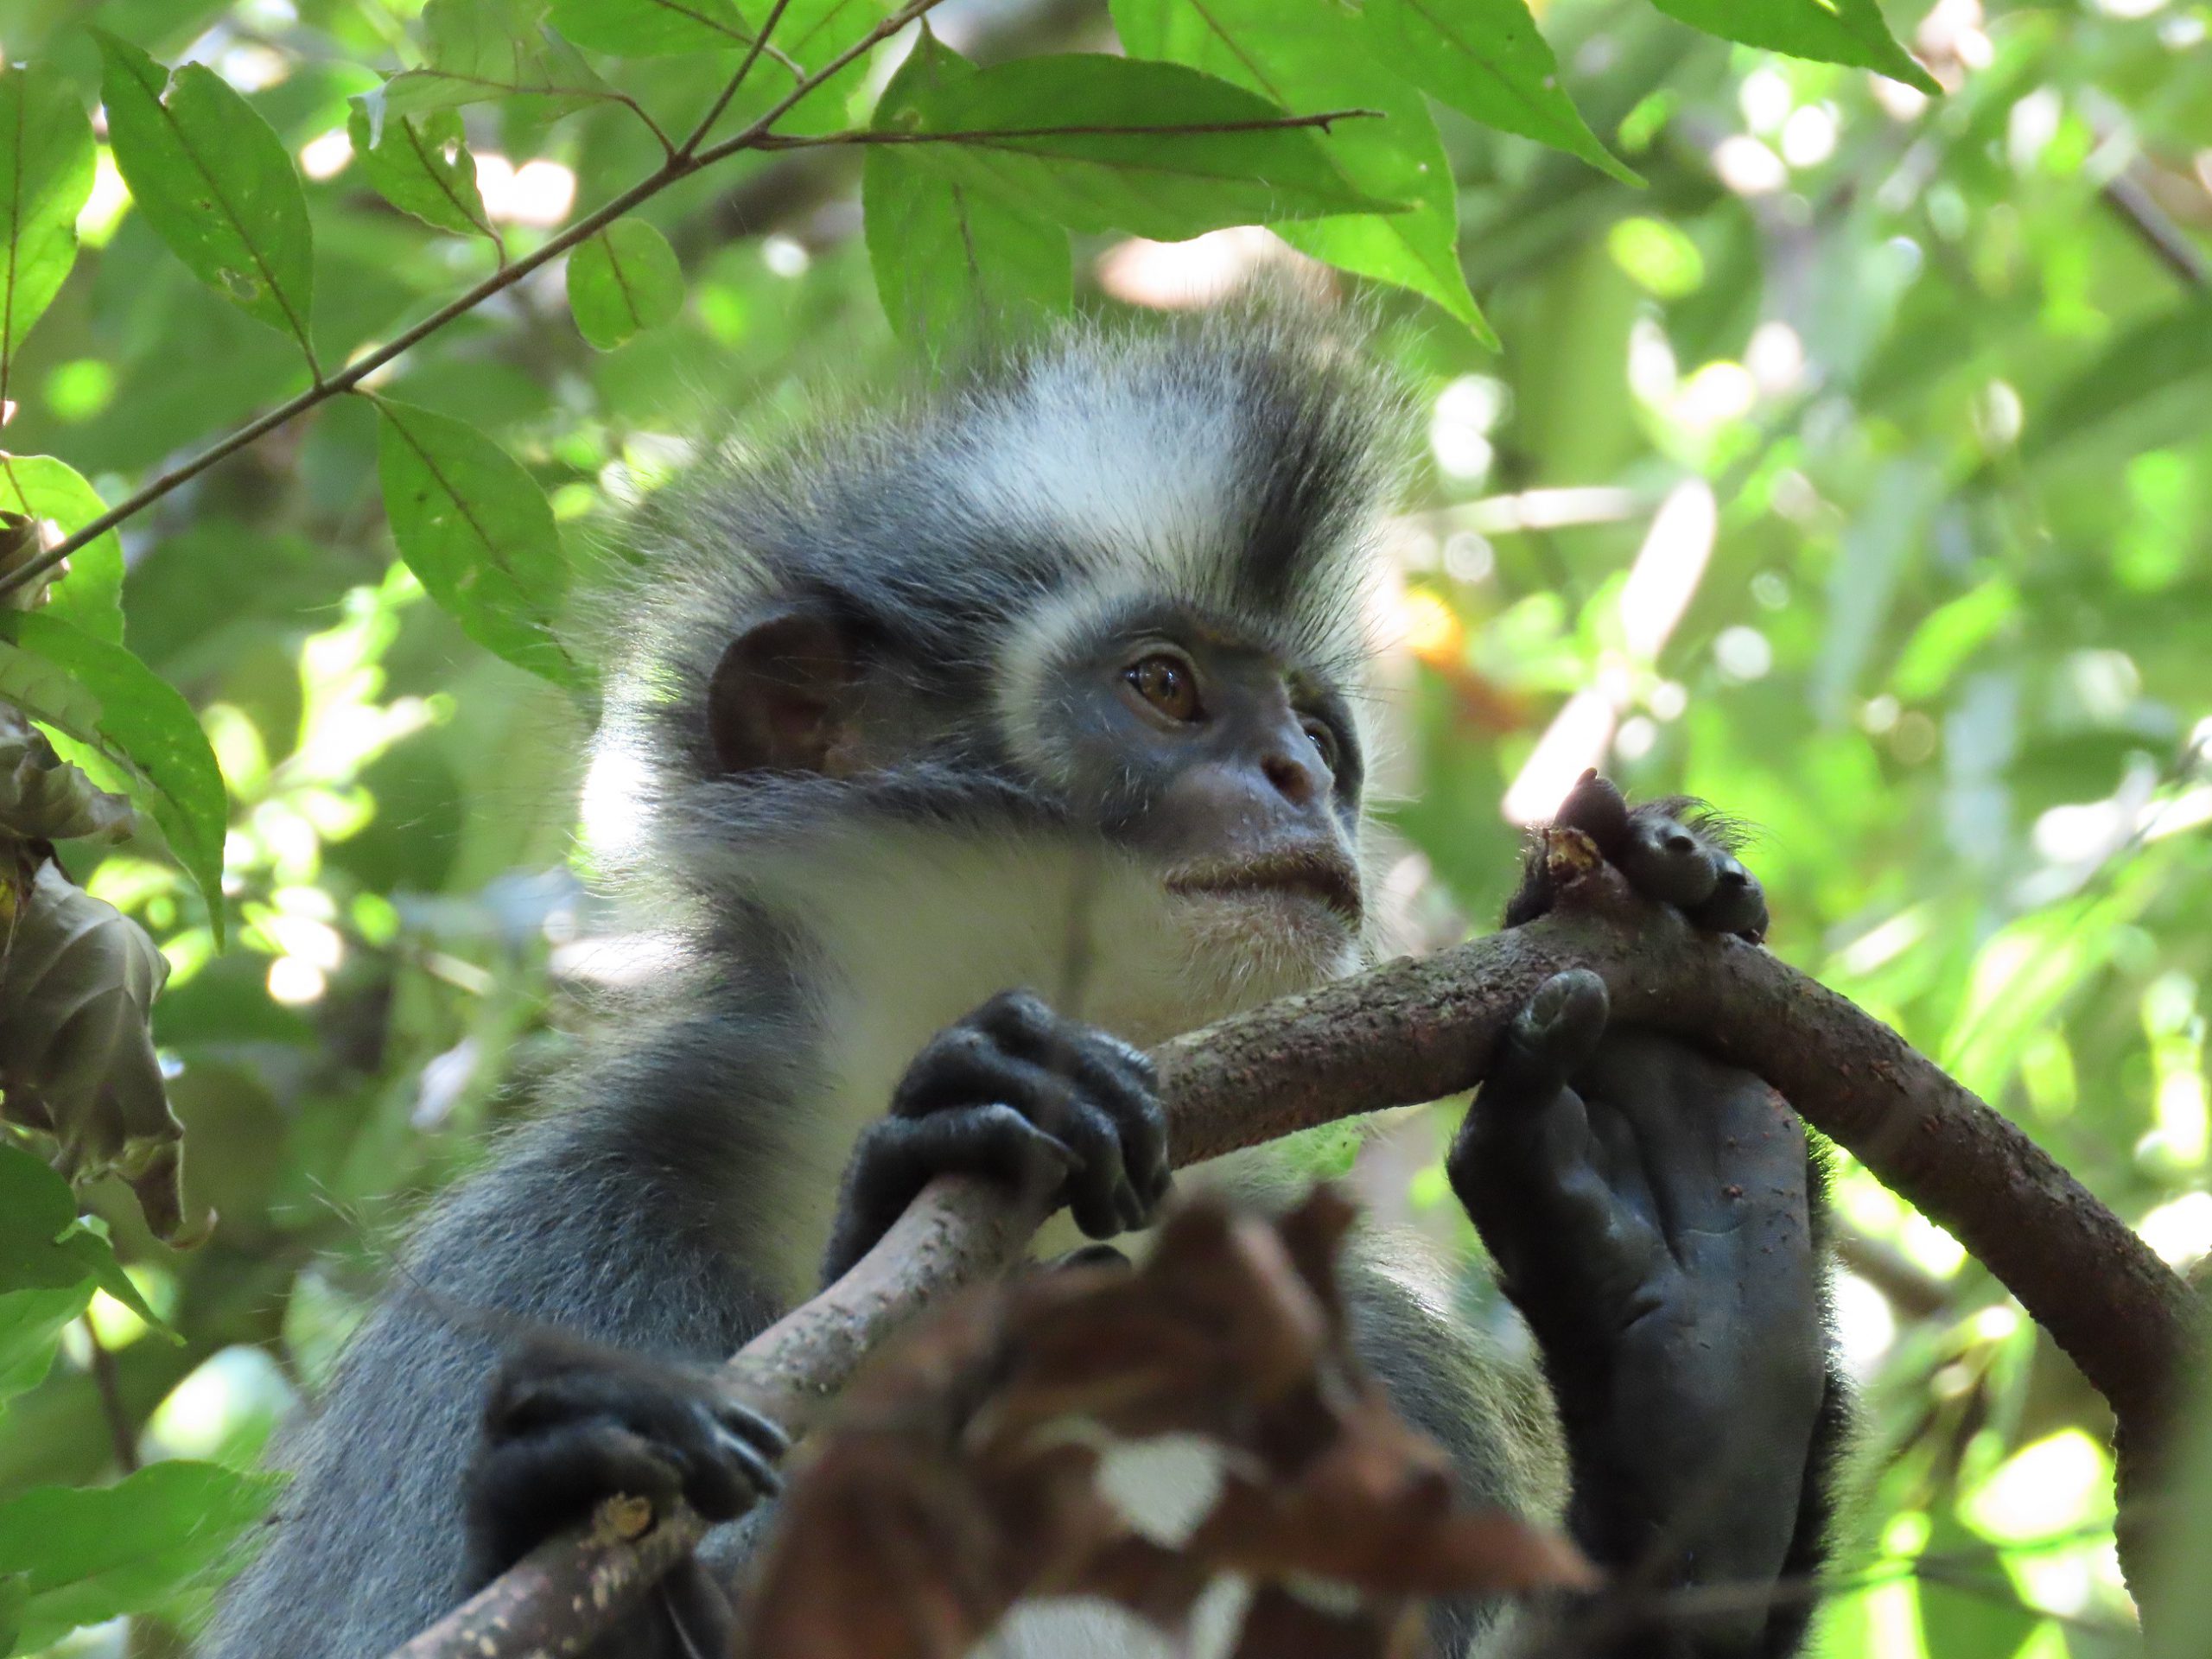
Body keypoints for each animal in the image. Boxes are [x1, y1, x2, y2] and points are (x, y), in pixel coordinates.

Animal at [207, 302, 1831, 1659]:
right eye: (1165, 686)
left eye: (1317, 732)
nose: (1300, 777)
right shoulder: (559, 1246)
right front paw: (922, 1190)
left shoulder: (1366, 1363)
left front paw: (1700, 1362)